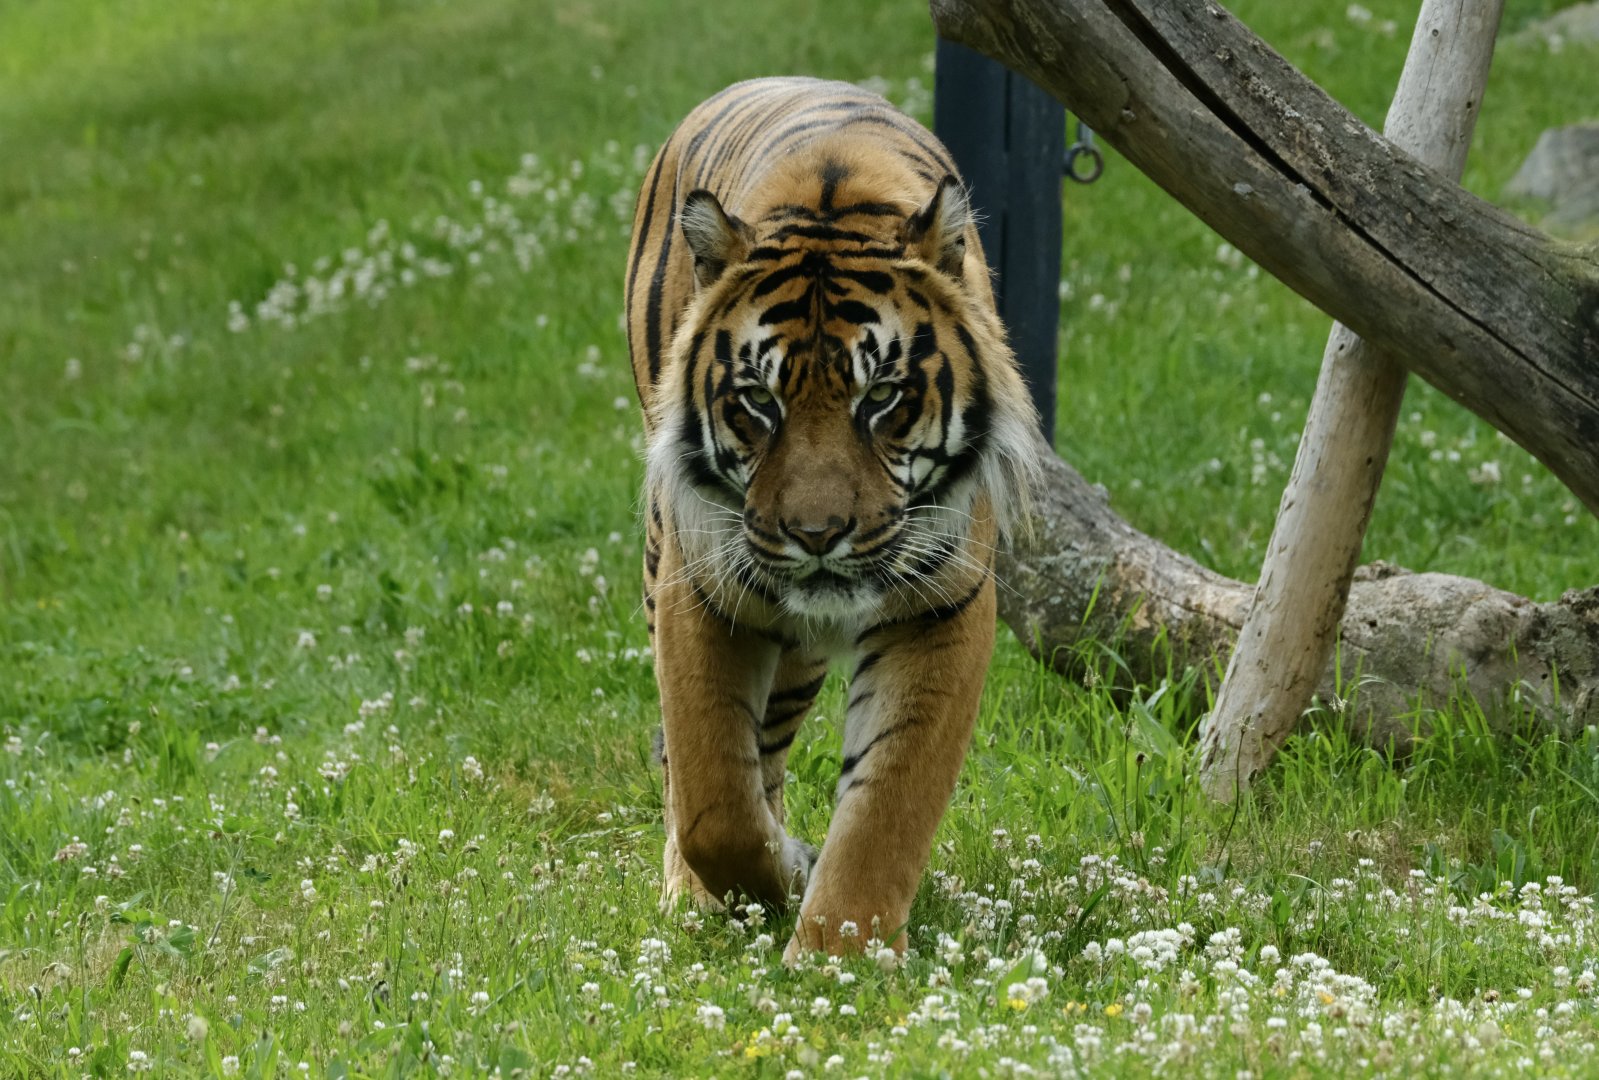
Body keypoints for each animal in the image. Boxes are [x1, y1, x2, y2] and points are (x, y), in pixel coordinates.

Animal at [624, 76, 1043, 961]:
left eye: (879, 396)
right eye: (758, 401)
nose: (815, 537)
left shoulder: (943, 606)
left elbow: (887, 803)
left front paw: (838, 954)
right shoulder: (702, 587)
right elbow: (713, 797)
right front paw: (773, 878)